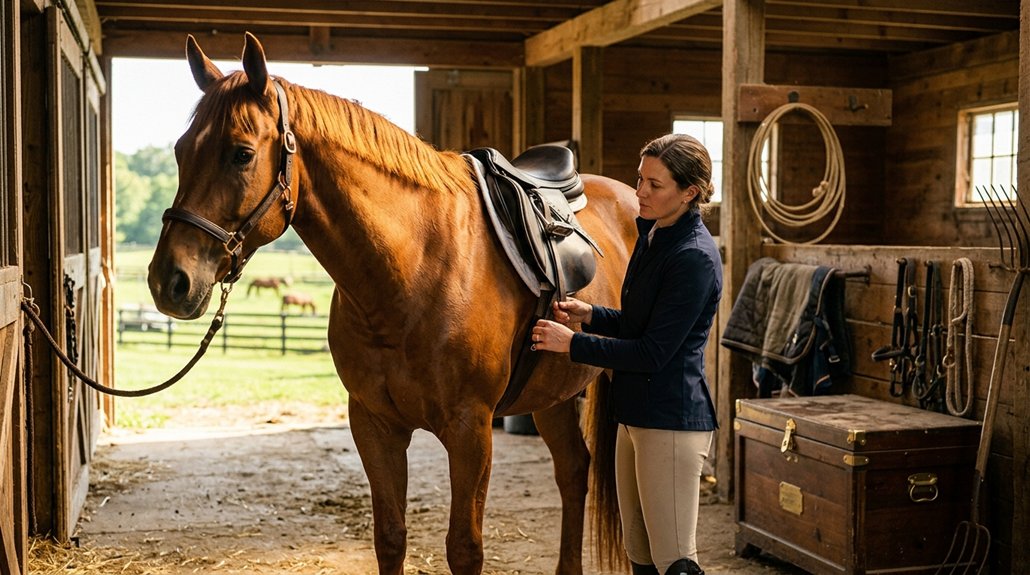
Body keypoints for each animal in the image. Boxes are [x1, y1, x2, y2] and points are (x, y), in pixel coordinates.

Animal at [147, 33, 639, 575]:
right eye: (180, 151)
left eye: (240, 154)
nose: (168, 280)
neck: (414, 268)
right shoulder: (374, 424)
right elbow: (390, 537)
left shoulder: (470, 431)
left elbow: (464, 548)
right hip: (552, 394)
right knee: (574, 470)